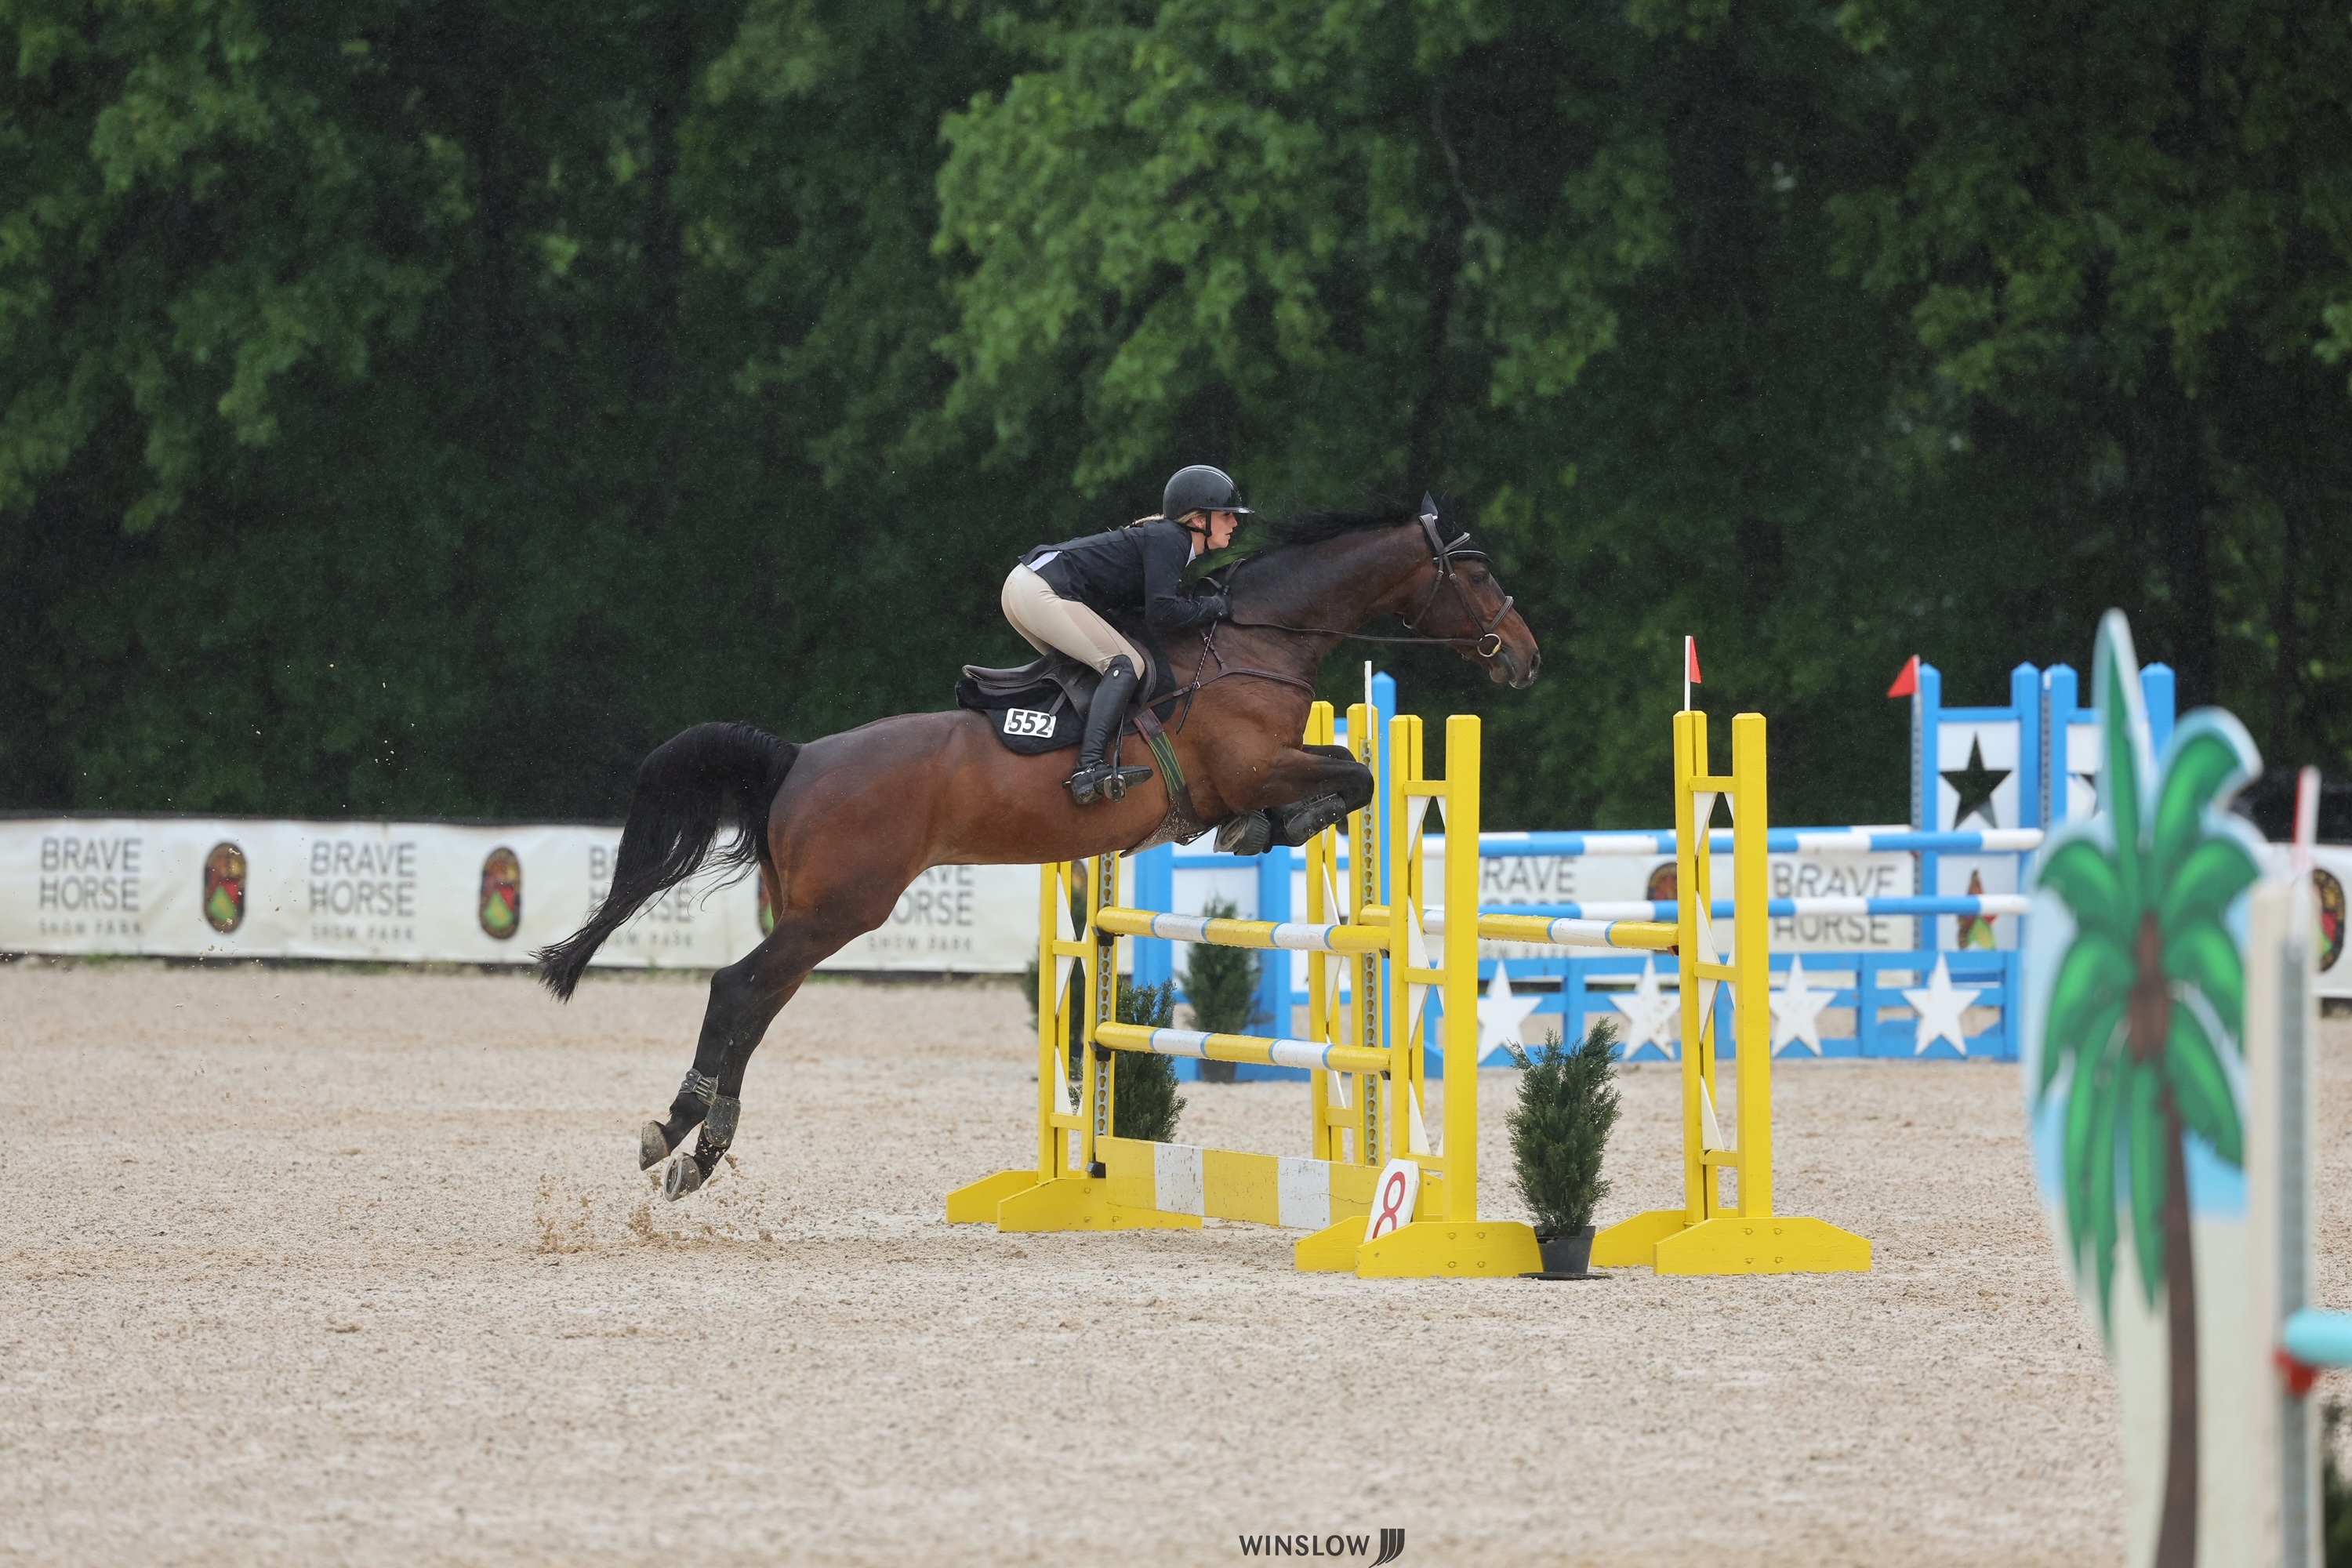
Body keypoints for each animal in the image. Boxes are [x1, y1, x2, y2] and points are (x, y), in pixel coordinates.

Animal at [535, 497, 1540, 1199]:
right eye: (1480, 573)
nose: (1527, 658)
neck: (1252, 640)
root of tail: (798, 759)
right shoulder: (1255, 764)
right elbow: (1354, 776)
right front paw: (1270, 827)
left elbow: (1350, 777)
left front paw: (1271, 828)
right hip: (842, 908)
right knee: (737, 988)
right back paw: (677, 1131)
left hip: (816, 912)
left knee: (759, 1002)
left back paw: (702, 1147)